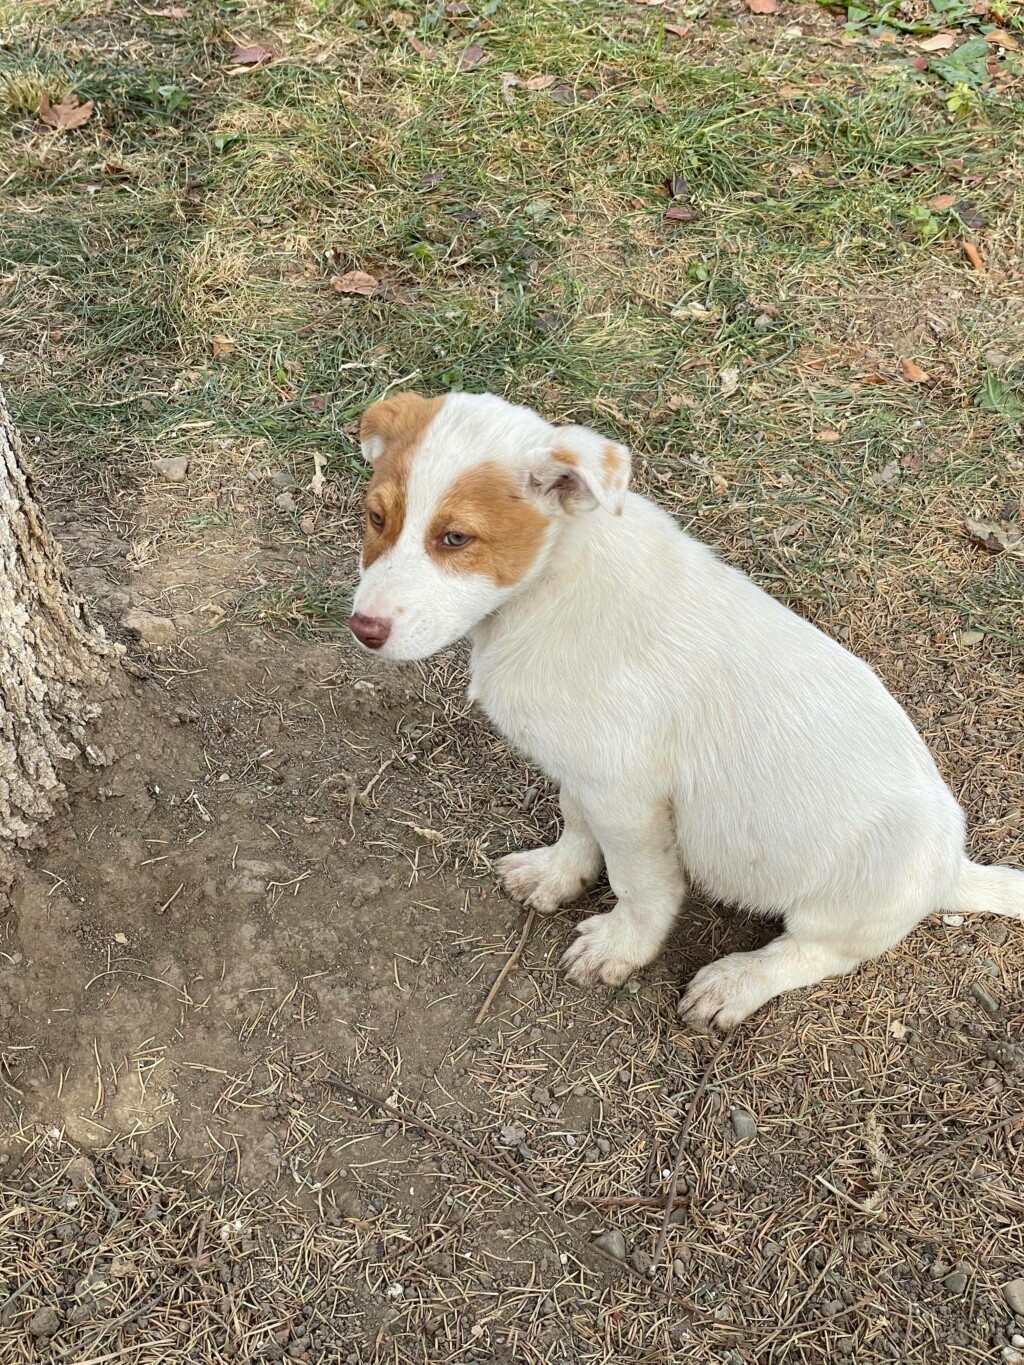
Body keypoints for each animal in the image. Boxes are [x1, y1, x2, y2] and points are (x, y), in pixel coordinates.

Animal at [349, 387, 1021, 1026]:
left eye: (455, 538)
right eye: (376, 517)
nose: (363, 629)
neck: (550, 584)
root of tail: (952, 869)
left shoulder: (628, 796)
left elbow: (640, 884)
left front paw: (621, 946)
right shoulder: (586, 770)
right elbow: (575, 821)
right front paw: (559, 875)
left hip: (858, 892)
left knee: (816, 952)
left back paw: (735, 981)